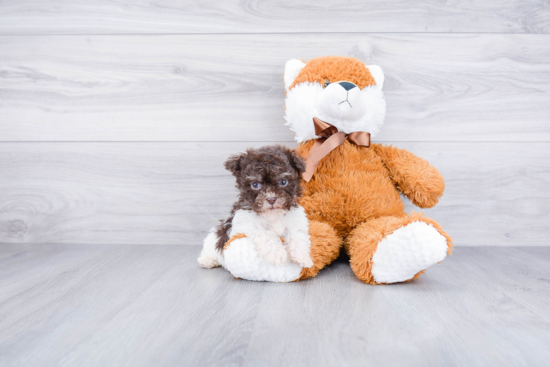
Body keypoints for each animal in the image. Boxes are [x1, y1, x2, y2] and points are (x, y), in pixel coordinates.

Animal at [198, 145, 312, 274]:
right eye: (255, 185)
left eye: (283, 182)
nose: (271, 199)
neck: (272, 215)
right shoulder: (246, 224)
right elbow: (266, 233)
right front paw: (277, 254)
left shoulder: (294, 222)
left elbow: (298, 236)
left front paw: (303, 258)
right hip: (213, 237)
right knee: (210, 248)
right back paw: (207, 260)